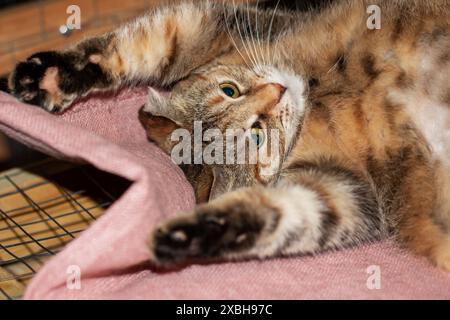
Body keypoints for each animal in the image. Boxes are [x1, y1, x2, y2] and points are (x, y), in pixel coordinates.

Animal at [3, 0, 450, 270]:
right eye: (256, 137)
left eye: (229, 90)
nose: (279, 91)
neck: (316, 94)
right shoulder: (348, 190)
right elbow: (291, 213)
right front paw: (194, 235)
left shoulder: (214, 26)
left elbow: (135, 46)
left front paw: (51, 74)